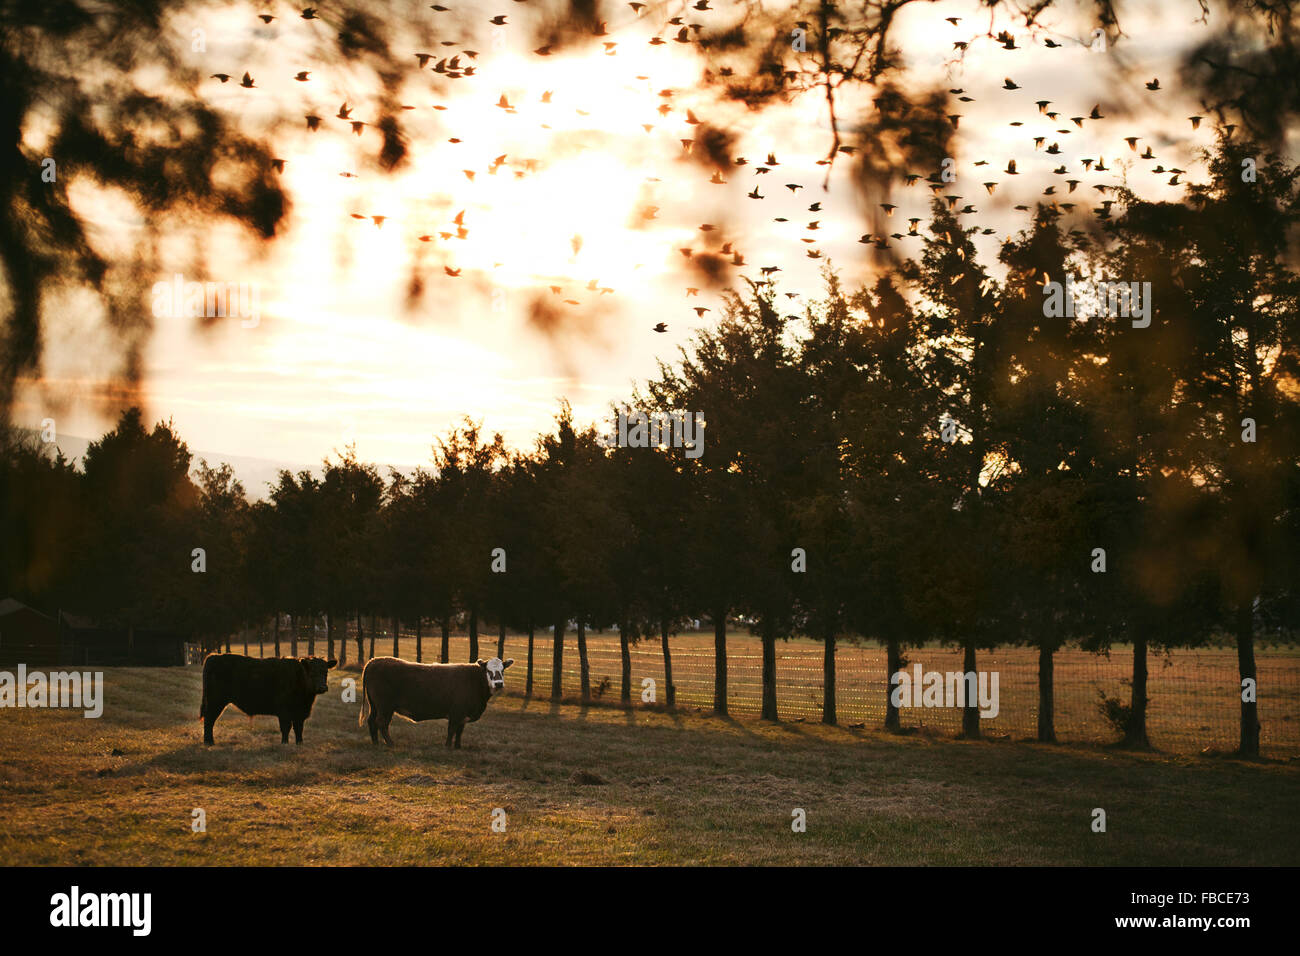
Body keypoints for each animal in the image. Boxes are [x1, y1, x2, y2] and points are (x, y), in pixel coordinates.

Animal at [200, 650, 338, 749]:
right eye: (311, 672)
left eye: (326, 672)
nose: (322, 687)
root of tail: (214, 656)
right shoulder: (284, 711)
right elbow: (286, 728)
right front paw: (284, 744)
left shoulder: (300, 713)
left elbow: (299, 729)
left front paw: (300, 744)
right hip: (215, 701)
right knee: (209, 720)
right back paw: (209, 742)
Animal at [364, 658, 514, 749]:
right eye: (488, 671)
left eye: (502, 670)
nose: (499, 684)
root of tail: (374, 661)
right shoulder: (456, 713)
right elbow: (452, 730)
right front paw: (448, 747)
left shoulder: (463, 715)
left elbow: (460, 731)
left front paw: (458, 747)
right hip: (385, 706)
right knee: (381, 723)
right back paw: (390, 744)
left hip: (376, 706)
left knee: (372, 721)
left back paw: (375, 743)